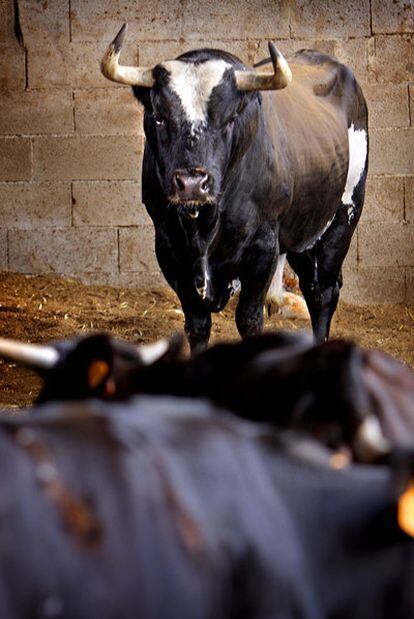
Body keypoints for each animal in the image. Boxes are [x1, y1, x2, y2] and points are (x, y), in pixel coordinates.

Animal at [102, 24, 368, 352]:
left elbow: (249, 319)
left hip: (344, 216)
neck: (203, 225)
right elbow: (197, 324)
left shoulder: (263, 246)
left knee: (323, 291)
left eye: (229, 119)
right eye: (159, 117)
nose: (192, 184)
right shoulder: (167, 246)